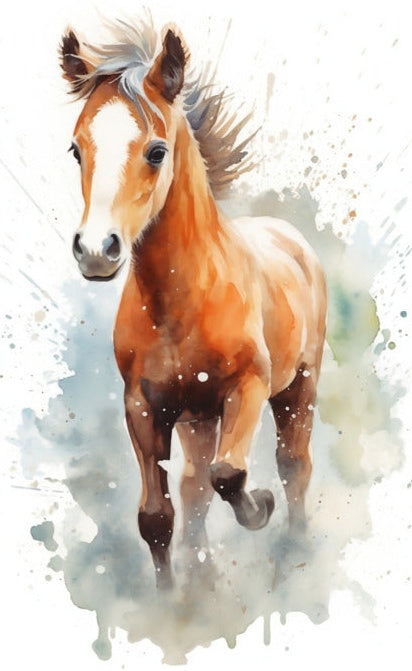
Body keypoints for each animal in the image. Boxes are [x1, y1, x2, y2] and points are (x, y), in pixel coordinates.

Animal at [60, 19, 327, 588]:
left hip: (298, 386)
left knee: (292, 463)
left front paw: (260, 507)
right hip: (196, 419)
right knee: (194, 486)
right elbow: (158, 515)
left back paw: (294, 547)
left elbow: (232, 474)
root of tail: (289, 237)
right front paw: (169, 598)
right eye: (76, 150)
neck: (182, 303)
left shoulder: (248, 387)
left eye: (156, 151)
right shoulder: (144, 407)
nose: (95, 250)